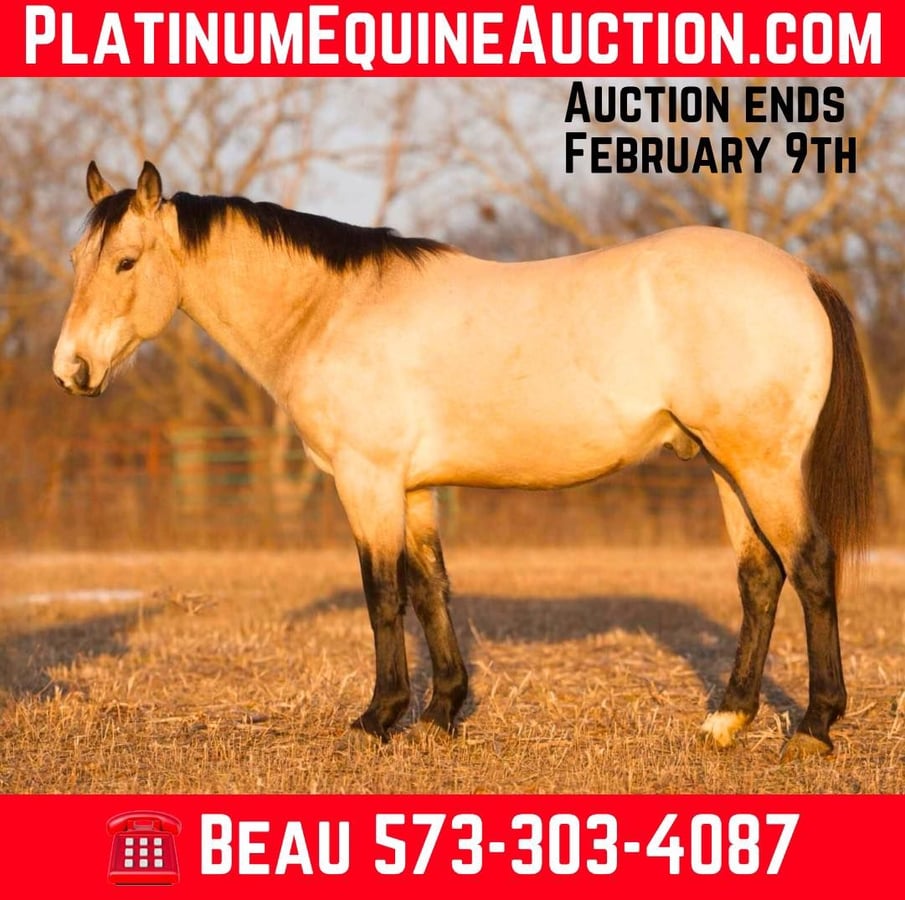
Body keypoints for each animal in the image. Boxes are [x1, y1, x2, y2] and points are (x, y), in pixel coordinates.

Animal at [53, 161, 872, 760]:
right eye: (75, 261)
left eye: (125, 262)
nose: (71, 370)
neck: (335, 310)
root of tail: (801, 273)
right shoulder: (413, 489)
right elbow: (430, 589)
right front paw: (442, 710)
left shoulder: (368, 480)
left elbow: (383, 595)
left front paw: (379, 716)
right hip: (727, 468)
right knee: (760, 578)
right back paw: (728, 721)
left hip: (761, 466)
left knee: (809, 567)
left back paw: (813, 727)